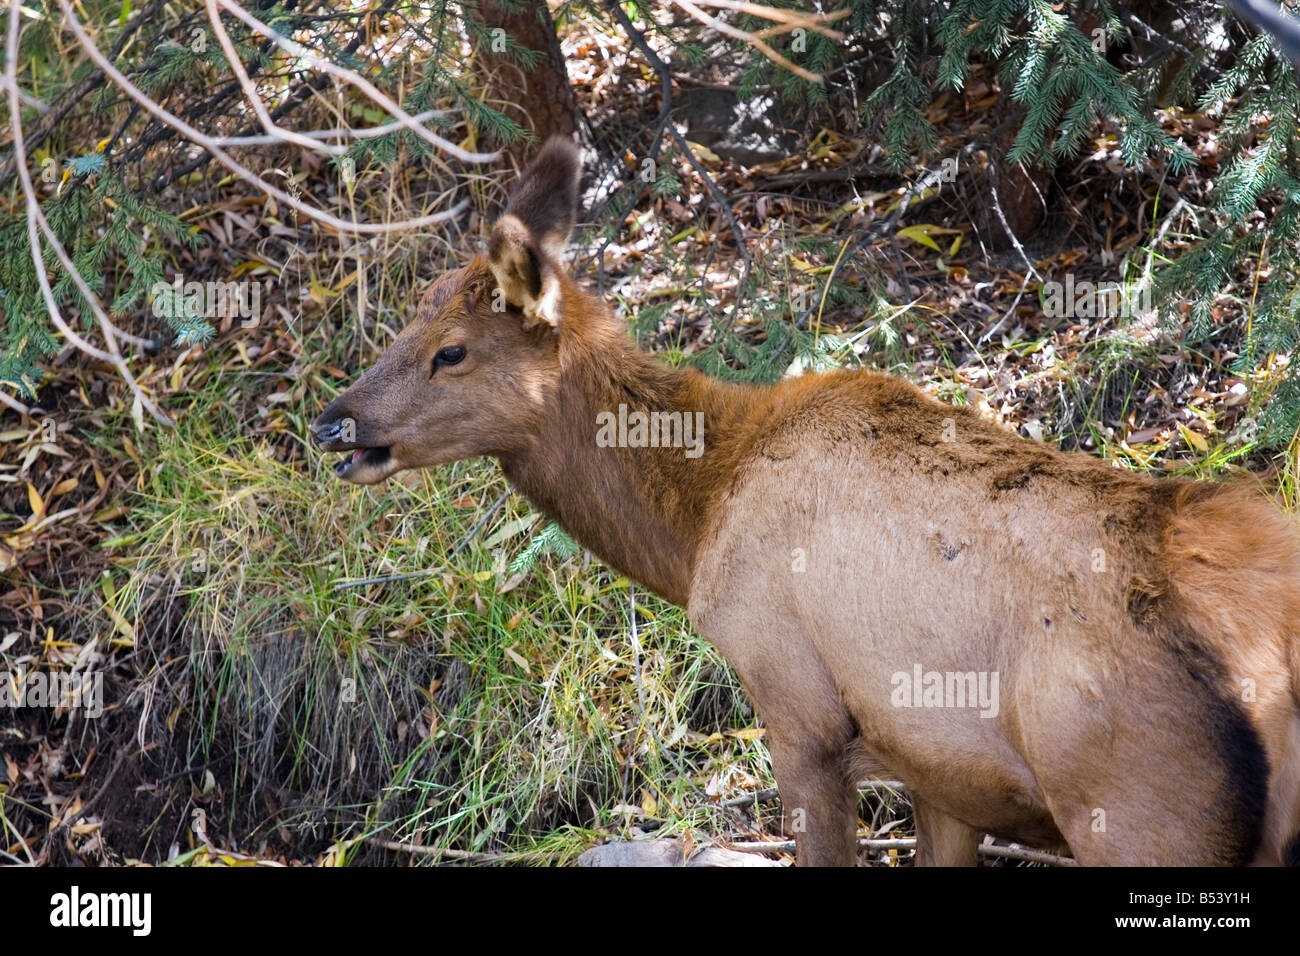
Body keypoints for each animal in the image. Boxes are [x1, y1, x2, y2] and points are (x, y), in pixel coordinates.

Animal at [314, 140, 1300, 868]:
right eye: (411, 314)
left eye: (451, 350)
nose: (334, 422)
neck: (699, 519)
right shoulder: (939, 769)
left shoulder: (797, 707)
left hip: (1138, 808)